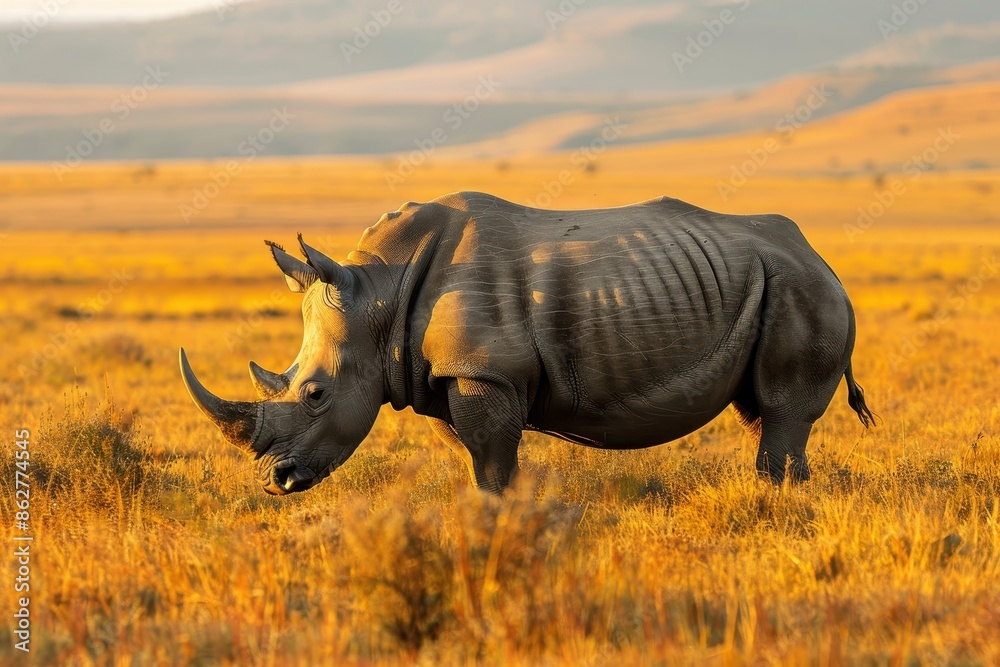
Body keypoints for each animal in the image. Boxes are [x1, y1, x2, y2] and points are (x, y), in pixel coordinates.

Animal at [180, 191, 874, 495]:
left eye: (316, 394)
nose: (276, 480)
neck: (379, 292)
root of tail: (819, 253)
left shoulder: (486, 370)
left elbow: (490, 457)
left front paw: (496, 517)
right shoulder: (450, 374)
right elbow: (478, 455)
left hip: (801, 284)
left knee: (780, 412)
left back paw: (778, 499)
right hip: (772, 280)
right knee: (757, 412)